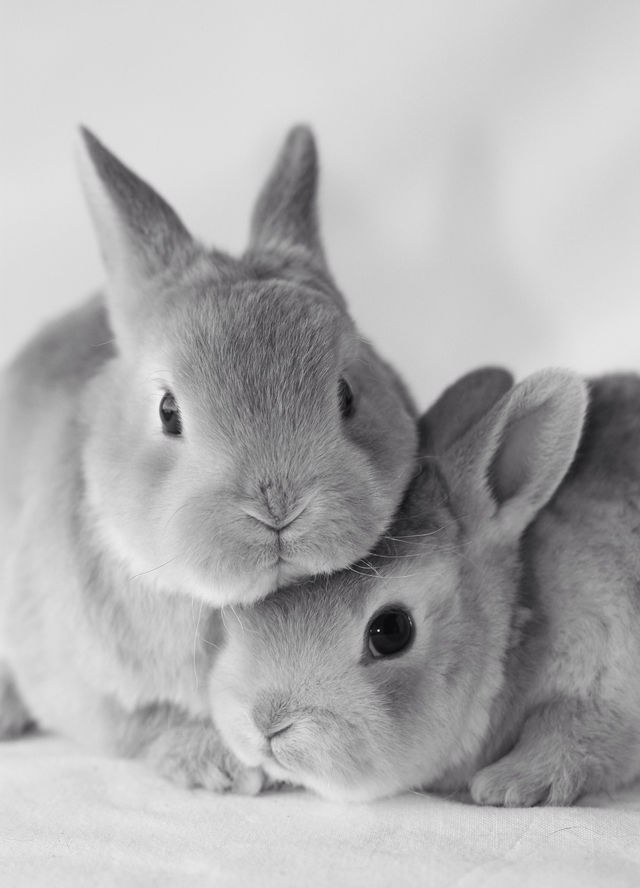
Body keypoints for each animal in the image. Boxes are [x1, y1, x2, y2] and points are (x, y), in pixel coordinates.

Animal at [0, 126, 417, 791]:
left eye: (348, 394)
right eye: (168, 411)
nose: (279, 506)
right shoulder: (86, 693)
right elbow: (139, 724)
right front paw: (214, 765)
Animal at [210, 365, 640, 806]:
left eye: (391, 631)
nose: (266, 721)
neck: (517, 620)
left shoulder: (604, 681)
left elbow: (574, 734)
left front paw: (508, 785)